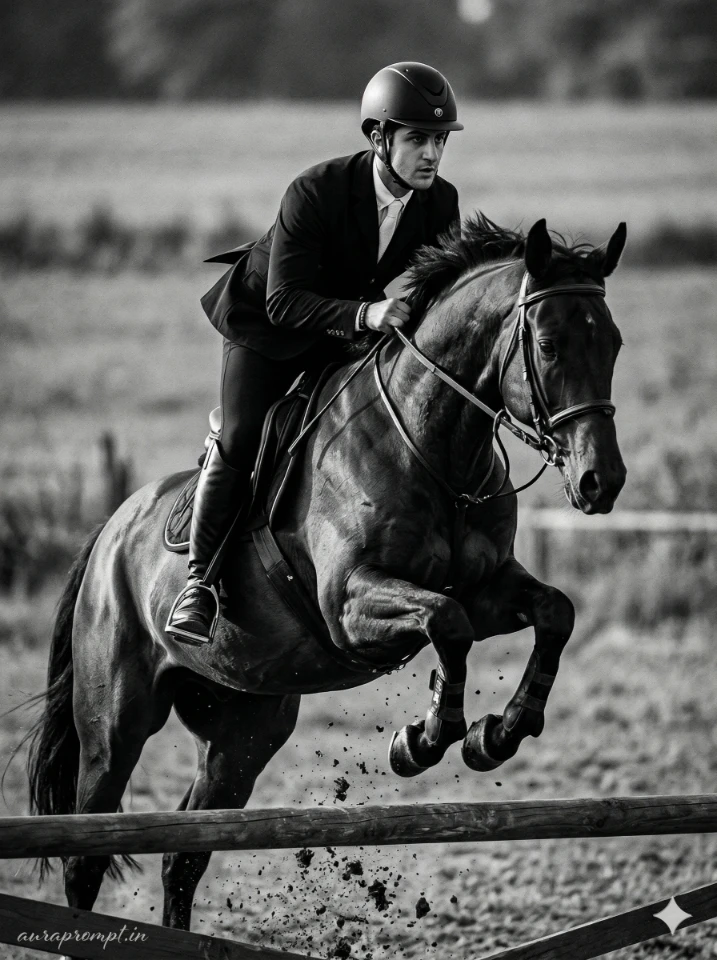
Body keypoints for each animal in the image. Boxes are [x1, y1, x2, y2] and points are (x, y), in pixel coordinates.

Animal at [26, 214, 627, 936]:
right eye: (547, 344)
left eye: (614, 342)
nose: (601, 482)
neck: (433, 446)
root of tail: (111, 530)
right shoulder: (351, 605)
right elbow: (446, 624)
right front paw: (422, 739)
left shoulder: (488, 588)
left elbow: (553, 612)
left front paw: (498, 733)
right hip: (115, 725)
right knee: (86, 854)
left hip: (242, 729)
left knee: (184, 854)